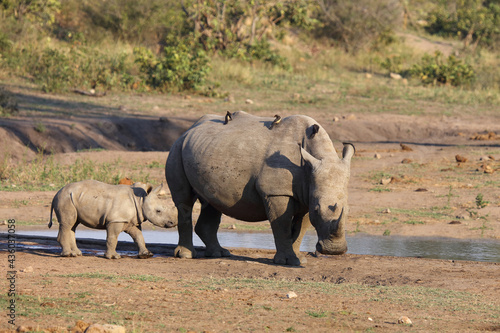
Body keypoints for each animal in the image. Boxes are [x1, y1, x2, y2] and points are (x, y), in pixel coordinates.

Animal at [48, 180, 177, 258]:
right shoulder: (115, 220)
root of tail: (56, 193)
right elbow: (112, 237)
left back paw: (77, 253)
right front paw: (113, 257)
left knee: (73, 225)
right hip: (65, 199)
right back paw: (68, 255)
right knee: (67, 224)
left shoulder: (131, 221)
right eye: (158, 211)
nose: (173, 223)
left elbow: (138, 236)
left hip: (71, 198)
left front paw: (147, 254)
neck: (141, 200)